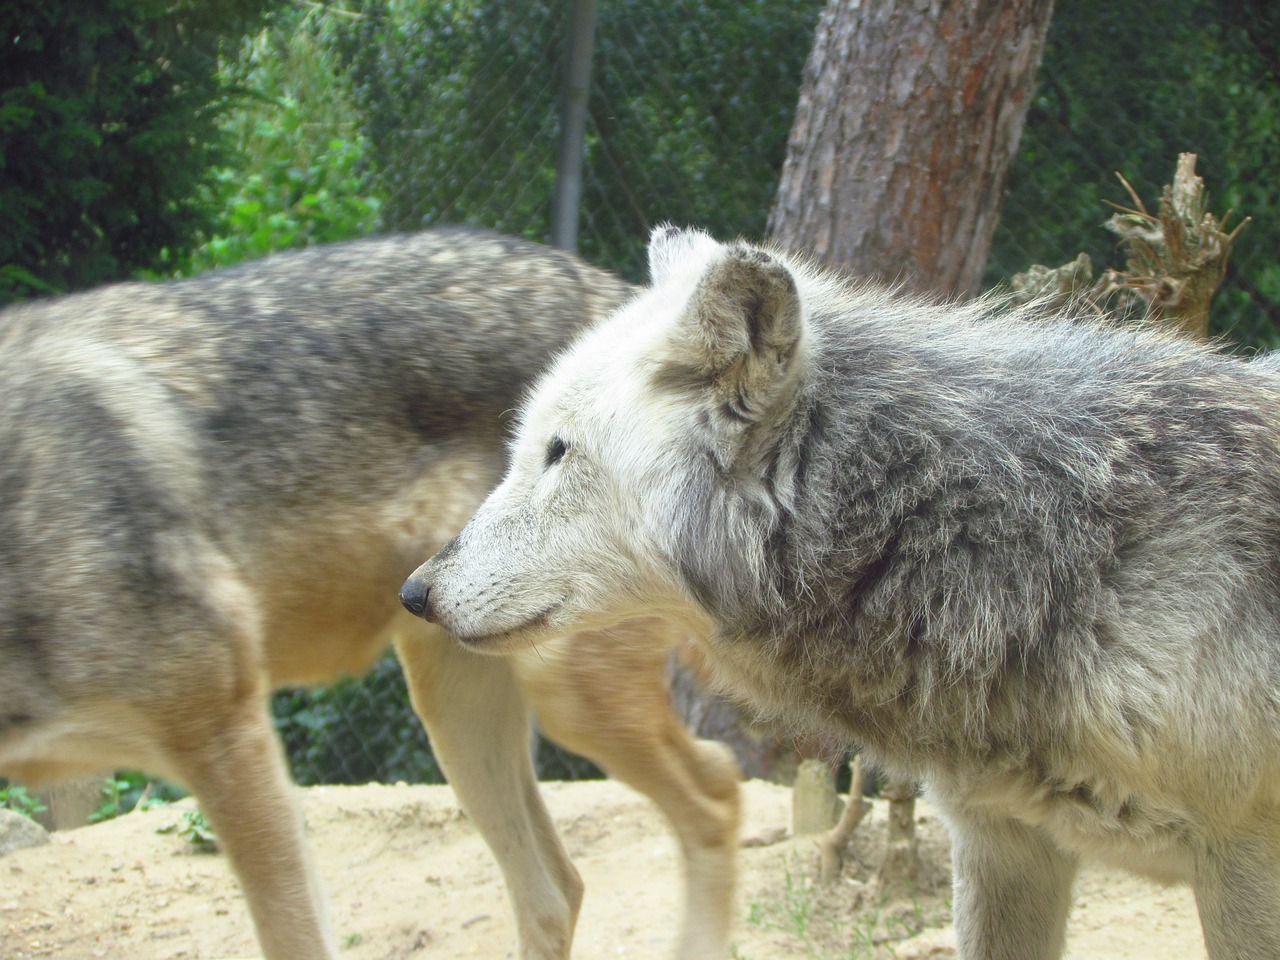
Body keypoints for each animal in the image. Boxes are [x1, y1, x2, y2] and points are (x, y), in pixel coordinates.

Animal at [0, 231, 742, 960]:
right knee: (556, 891)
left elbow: (296, 938)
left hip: (567, 701)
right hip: (456, 713)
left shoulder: (231, 739)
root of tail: (629, 294)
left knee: (716, 790)